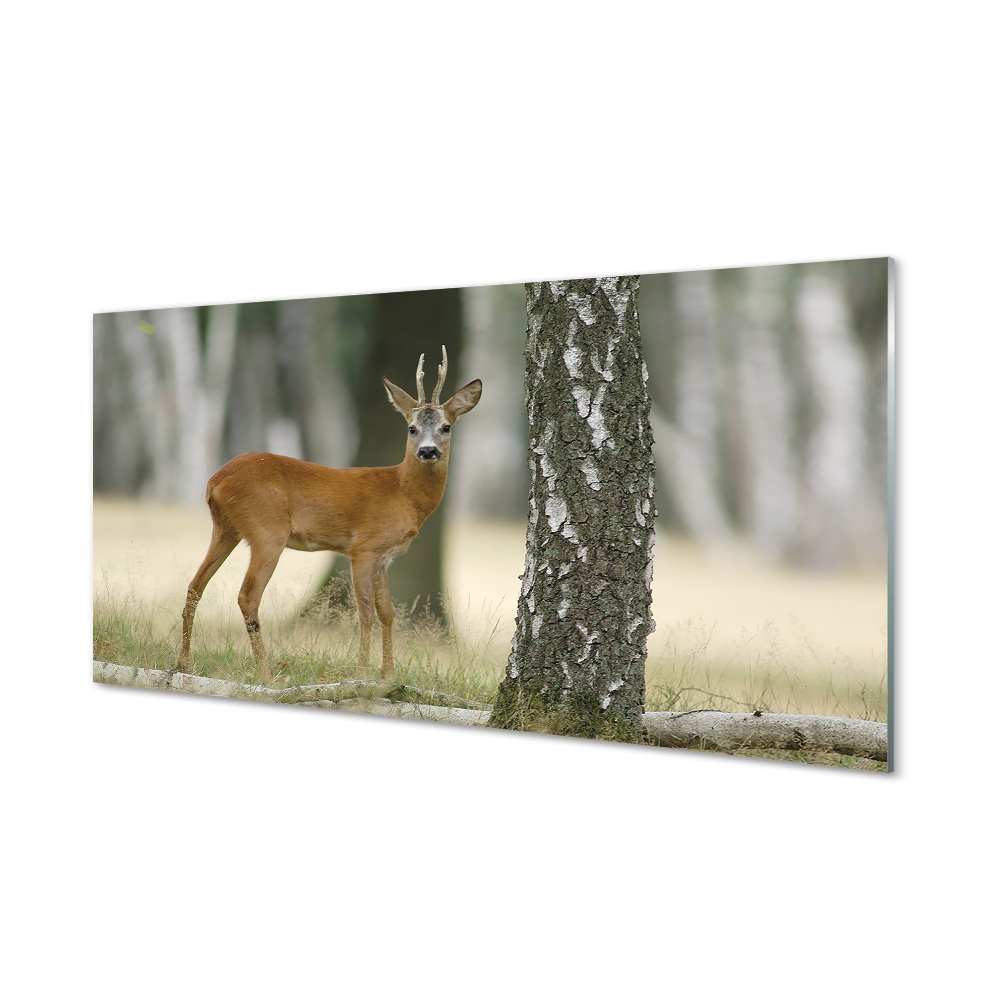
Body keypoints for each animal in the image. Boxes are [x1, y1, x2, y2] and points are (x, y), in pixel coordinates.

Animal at [175, 346, 481, 683]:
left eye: (446, 427)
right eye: (411, 428)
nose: (428, 451)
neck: (402, 492)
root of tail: (215, 480)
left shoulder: (384, 556)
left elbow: (388, 612)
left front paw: (389, 675)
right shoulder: (363, 548)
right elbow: (365, 612)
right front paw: (362, 674)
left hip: (225, 529)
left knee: (194, 586)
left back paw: (184, 664)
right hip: (267, 530)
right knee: (248, 596)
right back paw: (266, 675)